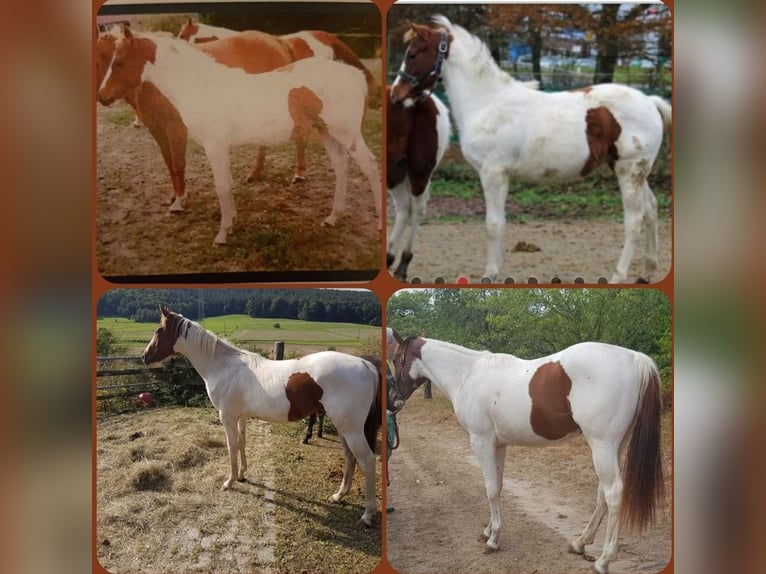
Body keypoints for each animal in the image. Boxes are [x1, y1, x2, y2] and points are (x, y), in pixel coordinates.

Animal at [99, 27, 381, 245]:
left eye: (118, 62)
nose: (102, 96)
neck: (201, 85)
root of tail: (354, 75)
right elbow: (226, 186)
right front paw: (231, 222)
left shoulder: (215, 147)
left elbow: (222, 186)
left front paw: (222, 234)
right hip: (328, 133)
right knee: (341, 167)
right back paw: (333, 218)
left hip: (347, 134)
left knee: (370, 166)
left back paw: (378, 225)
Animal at [141, 306, 382, 527]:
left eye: (159, 330)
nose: (144, 356)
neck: (223, 366)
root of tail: (365, 365)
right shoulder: (240, 417)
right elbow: (242, 443)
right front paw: (242, 475)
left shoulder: (227, 418)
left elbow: (231, 448)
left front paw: (229, 481)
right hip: (344, 428)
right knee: (350, 458)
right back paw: (339, 496)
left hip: (351, 429)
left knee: (367, 460)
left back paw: (367, 515)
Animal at [386, 86, 451, 282]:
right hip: (396, 171)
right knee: (404, 207)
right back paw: (389, 259)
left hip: (418, 171)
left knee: (416, 208)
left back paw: (402, 265)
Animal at [389, 331, 664, 574]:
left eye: (396, 358)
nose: (393, 400)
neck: (468, 374)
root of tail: (636, 358)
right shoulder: (498, 445)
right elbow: (498, 486)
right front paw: (489, 530)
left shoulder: (482, 442)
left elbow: (490, 489)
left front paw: (493, 540)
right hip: (614, 447)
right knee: (602, 496)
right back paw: (579, 543)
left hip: (602, 446)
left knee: (614, 494)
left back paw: (604, 561)